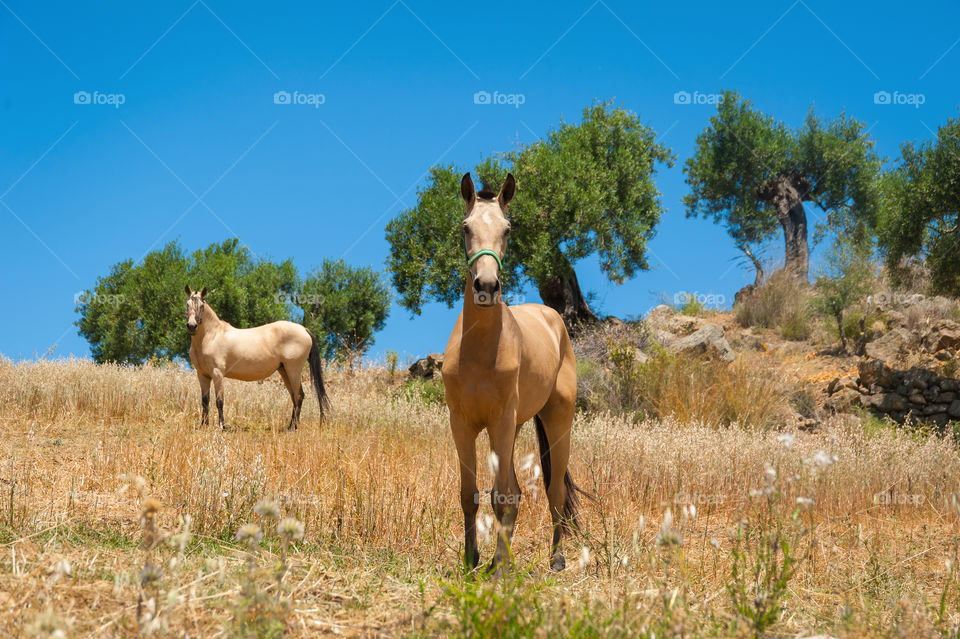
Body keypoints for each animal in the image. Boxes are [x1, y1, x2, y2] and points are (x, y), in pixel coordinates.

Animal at [184, 288, 330, 430]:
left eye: (202, 306)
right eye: (187, 304)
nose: (192, 326)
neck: (211, 336)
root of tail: (303, 329)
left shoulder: (217, 374)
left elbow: (219, 401)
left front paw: (221, 426)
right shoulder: (202, 375)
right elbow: (205, 401)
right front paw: (203, 425)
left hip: (293, 370)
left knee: (299, 395)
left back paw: (293, 427)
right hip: (284, 371)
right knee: (294, 396)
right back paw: (290, 426)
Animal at [440, 172, 584, 572]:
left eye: (507, 229)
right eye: (465, 227)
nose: (487, 286)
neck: (479, 353)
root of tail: (552, 318)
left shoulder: (500, 421)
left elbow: (500, 495)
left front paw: (501, 567)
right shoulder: (462, 423)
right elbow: (470, 494)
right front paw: (473, 560)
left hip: (556, 420)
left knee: (554, 491)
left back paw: (555, 559)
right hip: (516, 426)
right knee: (518, 493)